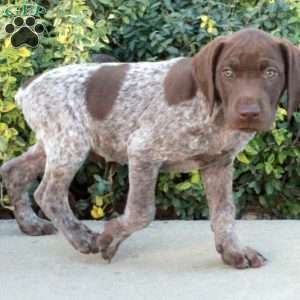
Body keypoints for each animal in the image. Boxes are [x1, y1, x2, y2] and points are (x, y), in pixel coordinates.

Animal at [0, 28, 300, 268]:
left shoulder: (218, 164)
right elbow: (142, 212)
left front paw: (233, 251)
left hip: (54, 142)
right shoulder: (143, 150)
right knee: (48, 193)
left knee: (14, 170)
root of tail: (27, 87)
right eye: (227, 73)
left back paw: (29, 224)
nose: (248, 113)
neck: (212, 110)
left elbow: (224, 212)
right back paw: (82, 237)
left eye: (271, 73)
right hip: (70, 142)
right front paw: (109, 238)